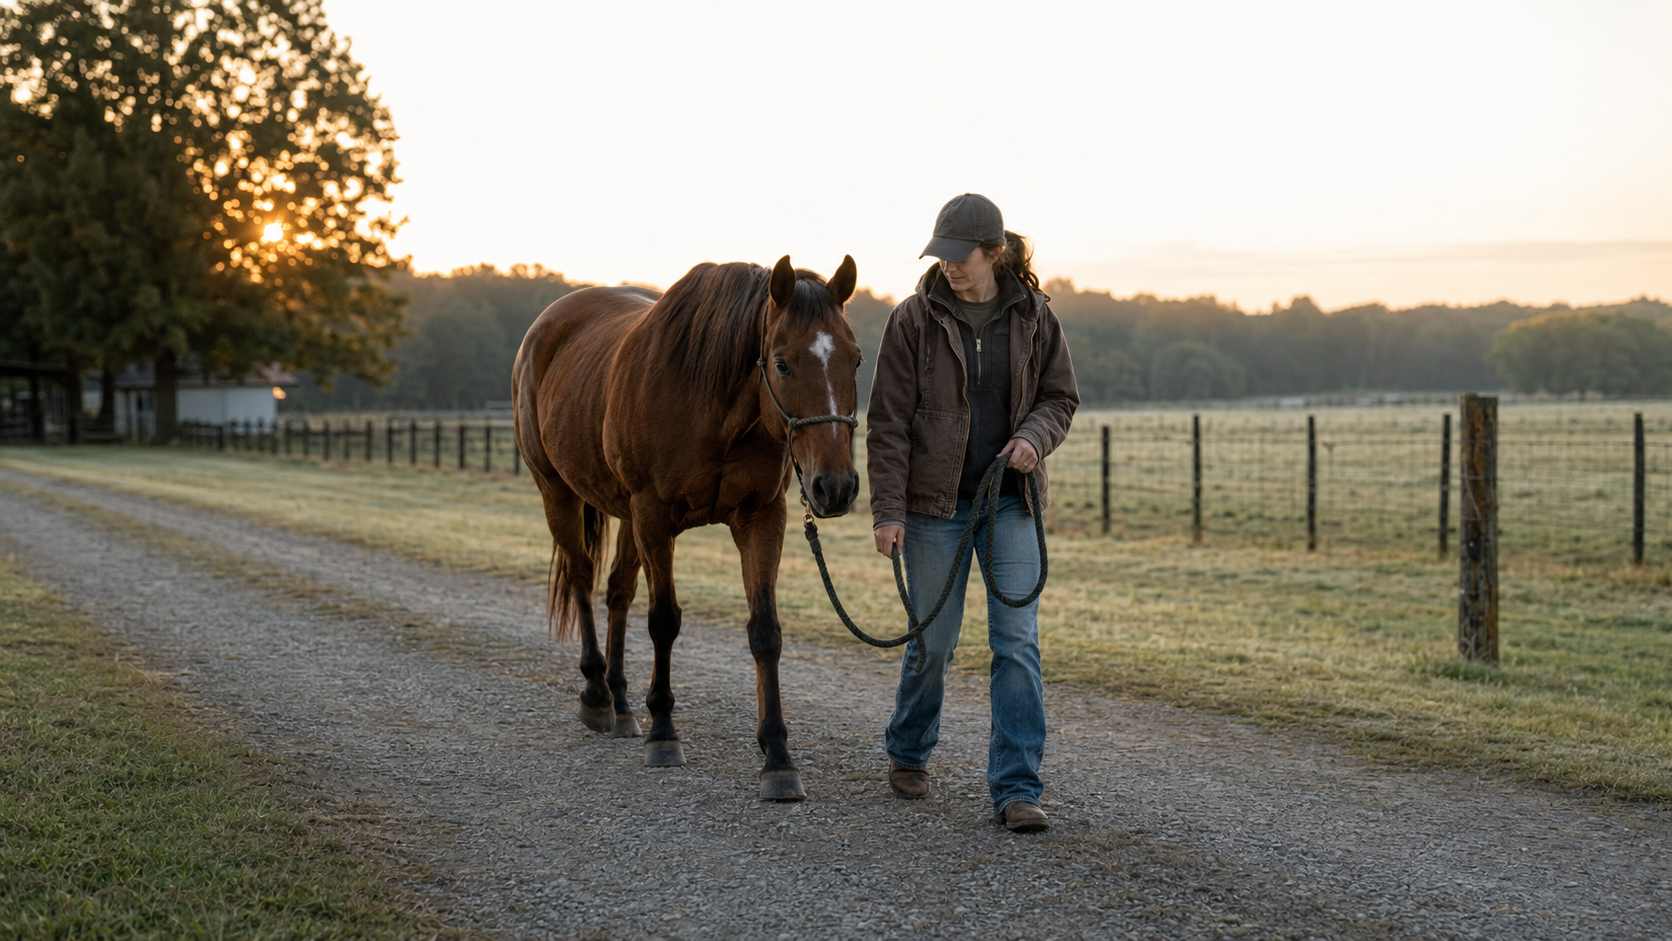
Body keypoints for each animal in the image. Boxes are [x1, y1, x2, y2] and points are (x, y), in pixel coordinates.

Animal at [512, 255, 863, 801]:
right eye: (782, 363)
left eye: (856, 360)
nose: (836, 486)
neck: (714, 406)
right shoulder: (654, 514)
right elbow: (664, 621)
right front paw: (663, 732)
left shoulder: (761, 517)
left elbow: (765, 631)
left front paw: (778, 757)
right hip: (558, 492)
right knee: (580, 579)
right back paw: (596, 694)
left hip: (625, 516)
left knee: (617, 592)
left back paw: (621, 703)